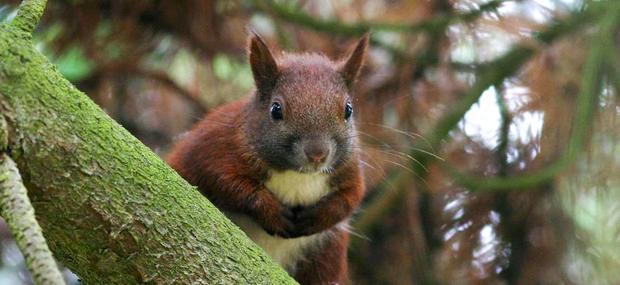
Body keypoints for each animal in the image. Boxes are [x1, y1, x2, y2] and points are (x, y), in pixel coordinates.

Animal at [167, 32, 366, 282]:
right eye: (276, 109)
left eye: (348, 109)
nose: (317, 154)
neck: (297, 175)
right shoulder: (213, 148)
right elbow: (226, 182)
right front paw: (273, 214)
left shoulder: (349, 170)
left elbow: (351, 197)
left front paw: (316, 218)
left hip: (326, 255)